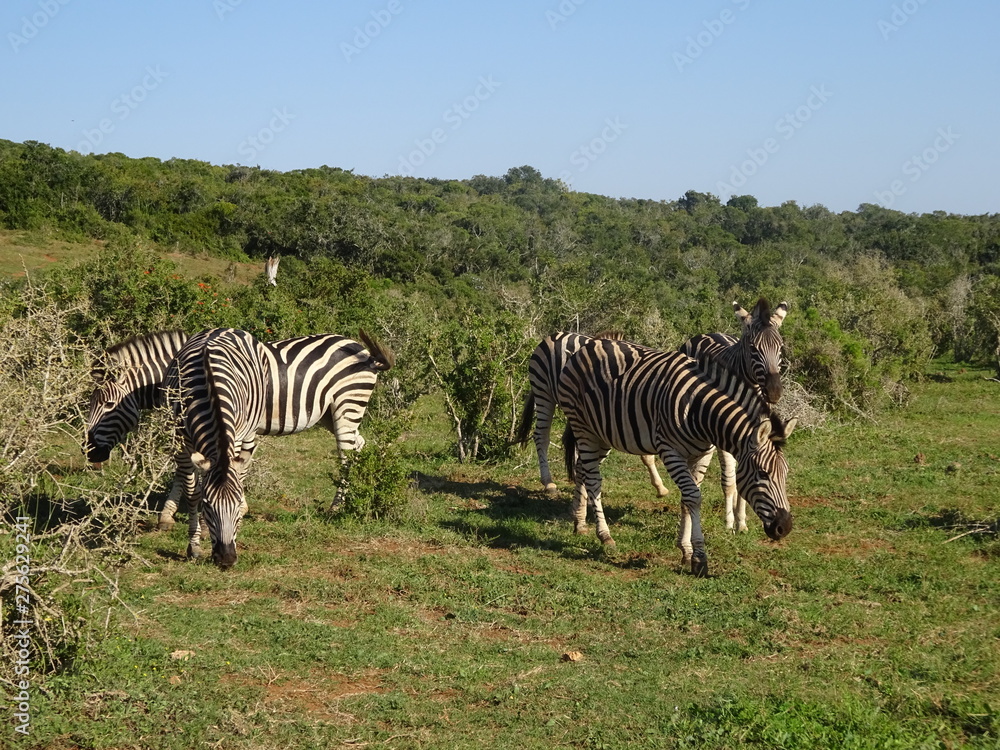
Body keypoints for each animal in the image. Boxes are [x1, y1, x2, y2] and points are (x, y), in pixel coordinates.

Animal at [84, 328, 395, 532]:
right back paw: (367, 489)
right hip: (329, 414)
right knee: (359, 446)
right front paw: (168, 514)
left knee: (346, 454)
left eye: (109, 404)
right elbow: (185, 471)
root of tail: (362, 350)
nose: (89, 454)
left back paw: (337, 506)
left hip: (347, 404)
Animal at [165, 327, 269, 570]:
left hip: (251, 429)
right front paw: (194, 546)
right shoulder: (182, 444)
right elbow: (193, 493)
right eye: (208, 505)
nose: (227, 559)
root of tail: (225, 328)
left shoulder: (236, 437)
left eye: (236, 504)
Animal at [557, 336, 795, 576]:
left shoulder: (702, 454)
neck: (700, 412)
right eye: (763, 474)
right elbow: (693, 497)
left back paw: (579, 523)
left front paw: (685, 551)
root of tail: (590, 344)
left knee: (581, 469)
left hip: (603, 434)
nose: (785, 528)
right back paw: (604, 535)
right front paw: (699, 558)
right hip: (583, 428)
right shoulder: (670, 451)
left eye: (785, 474)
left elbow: (687, 499)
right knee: (593, 480)